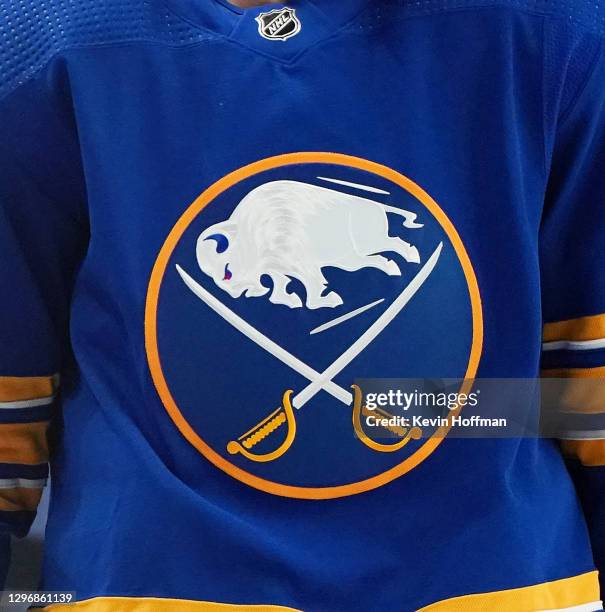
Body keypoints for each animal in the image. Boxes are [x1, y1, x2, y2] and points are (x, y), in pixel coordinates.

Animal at [196, 179, 422, 308]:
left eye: (227, 272)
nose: (236, 293)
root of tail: (375, 204)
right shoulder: (277, 266)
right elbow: (280, 284)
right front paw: (289, 300)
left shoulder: (301, 263)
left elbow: (312, 291)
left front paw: (329, 300)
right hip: (349, 259)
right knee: (373, 260)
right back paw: (392, 268)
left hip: (370, 242)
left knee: (395, 243)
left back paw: (412, 257)